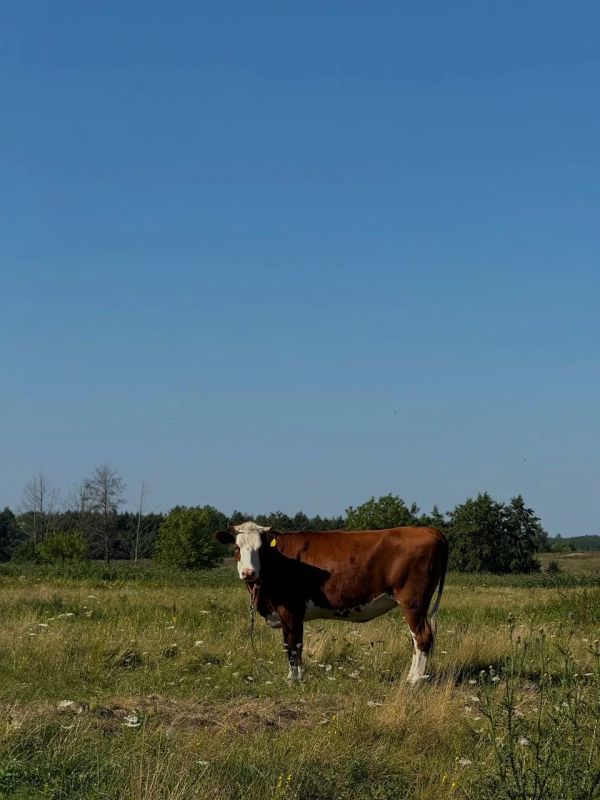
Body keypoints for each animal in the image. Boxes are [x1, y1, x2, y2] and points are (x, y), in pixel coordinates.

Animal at [216, 521, 448, 684]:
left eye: (261, 549)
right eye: (236, 548)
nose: (248, 573)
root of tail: (428, 530)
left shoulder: (290, 610)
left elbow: (293, 646)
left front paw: (295, 680)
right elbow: (292, 645)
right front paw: (294, 677)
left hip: (413, 602)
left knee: (422, 637)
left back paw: (413, 681)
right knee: (417, 640)